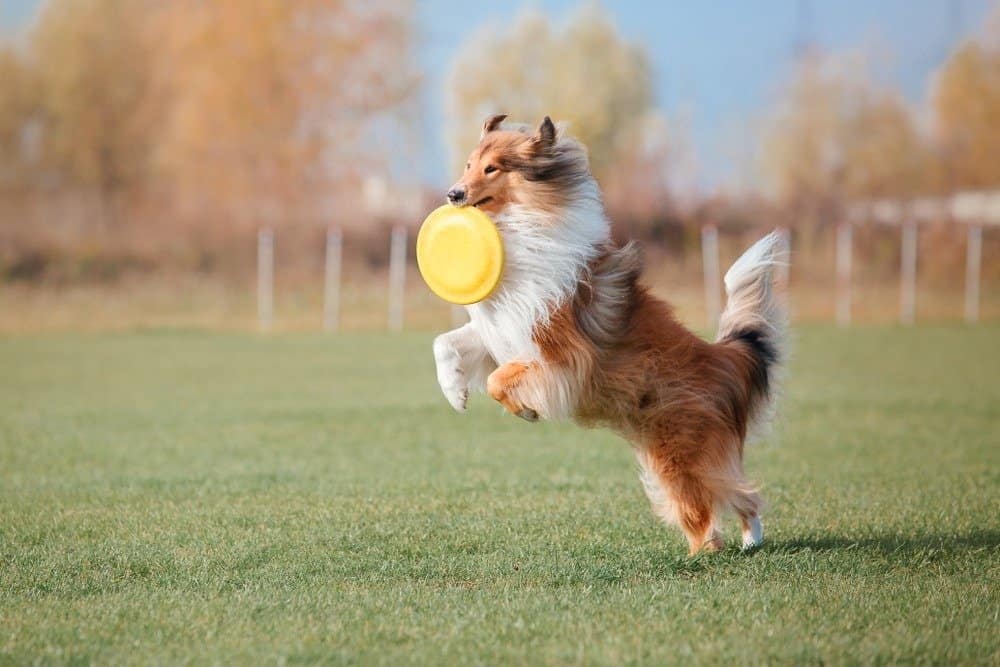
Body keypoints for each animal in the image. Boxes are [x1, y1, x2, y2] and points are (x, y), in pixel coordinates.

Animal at [434, 116, 784, 560]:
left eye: (492, 168)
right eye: (468, 164)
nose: (453, 193)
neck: (521, 224)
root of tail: (720, 357)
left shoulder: (560, 351)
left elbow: (500, 379)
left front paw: (526, 410)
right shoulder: (501, 329)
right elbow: (446, 344)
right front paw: (456, 394)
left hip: (679, 452)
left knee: (724, 498)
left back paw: (712, 551)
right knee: (727, 496)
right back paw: (741, 541)